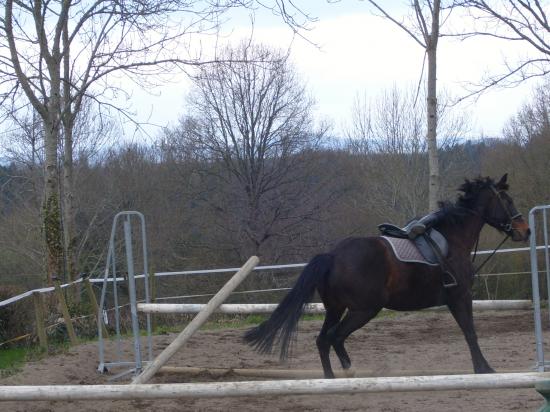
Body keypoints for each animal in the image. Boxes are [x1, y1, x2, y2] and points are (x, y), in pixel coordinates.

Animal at [245, 175, 532, 378]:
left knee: (323, 340)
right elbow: (470, 332)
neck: (452, 237)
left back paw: (331, 379)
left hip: (335, 309)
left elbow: (469, 332)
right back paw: (348, 372)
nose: (525, 230)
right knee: (335, 337)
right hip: (364, 309)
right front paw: (484, 369)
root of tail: (333, 255)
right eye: (507, 200)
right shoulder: (460, 296)